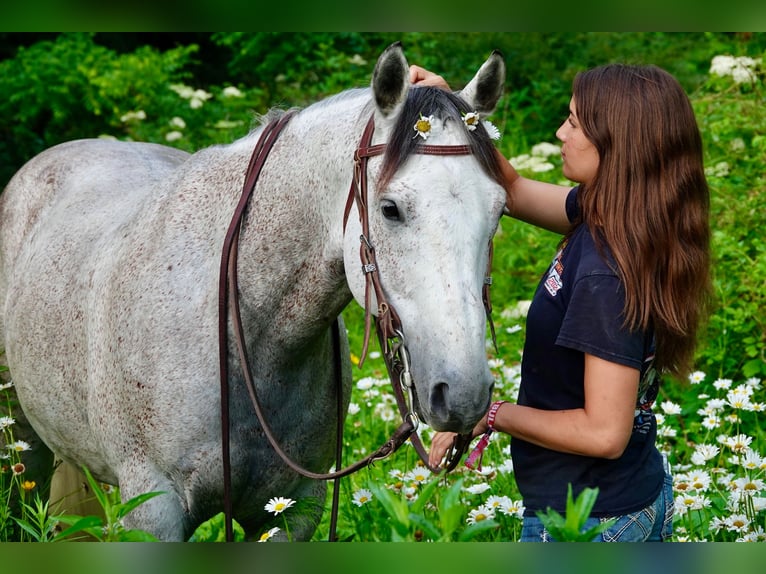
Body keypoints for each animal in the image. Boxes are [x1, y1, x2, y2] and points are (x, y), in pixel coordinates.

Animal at [0, 42, 507, 541]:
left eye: (500, 210)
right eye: (390, 209)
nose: (464, 393)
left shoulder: (290, 509)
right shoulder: (152, 509)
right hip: (23, 444)